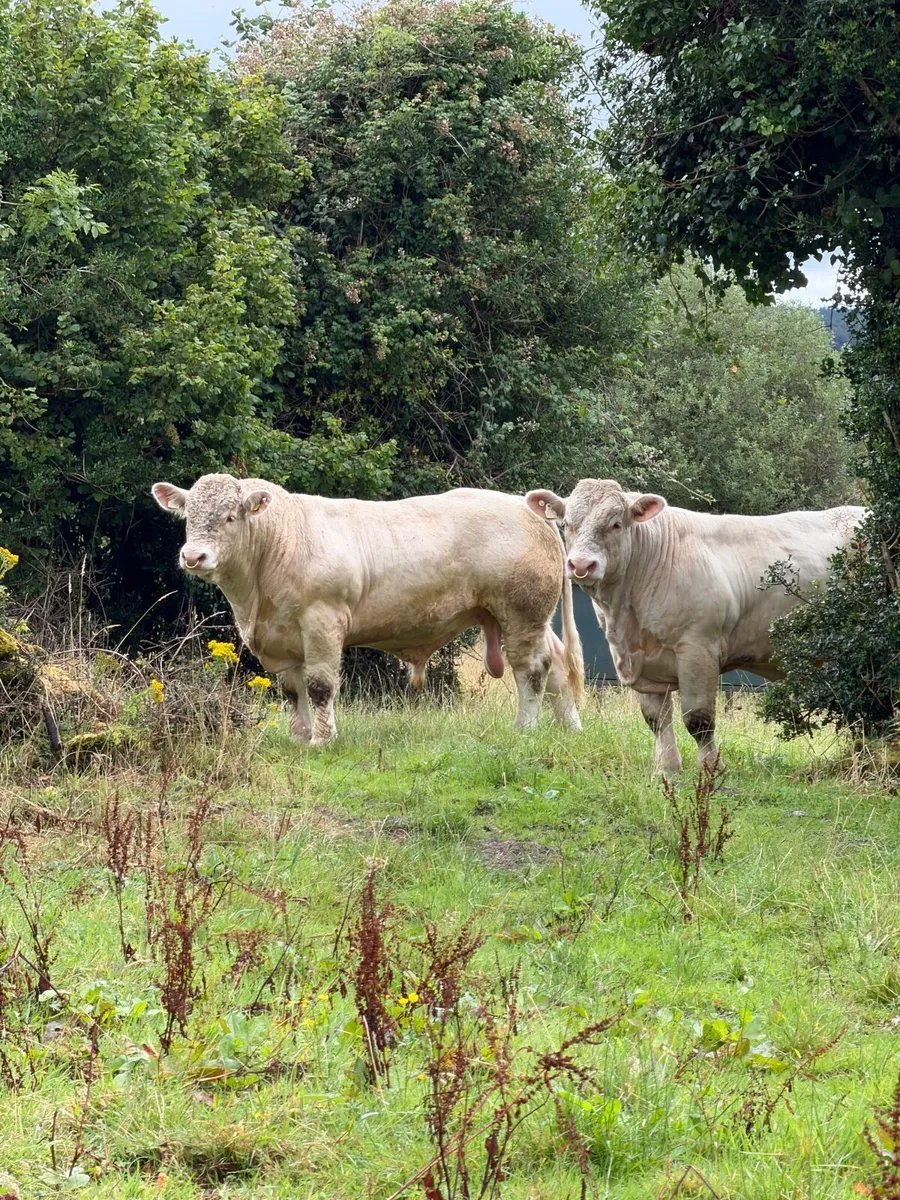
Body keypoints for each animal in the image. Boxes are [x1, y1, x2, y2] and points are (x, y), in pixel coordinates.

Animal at [152, 474, 584, 744]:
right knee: (557, 665)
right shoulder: (283, 639)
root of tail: (527, 508)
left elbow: (320, 686)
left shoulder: (322, 621)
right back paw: (570, 727)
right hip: (528, 619)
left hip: (521, 613)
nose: (193, 556)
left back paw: (525, 728)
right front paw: (299, 737)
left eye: (229, 517)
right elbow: (292, 690)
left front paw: (323, 739)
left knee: (531, 669)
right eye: (188, 517)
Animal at [525, 479, 865, 774]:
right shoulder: (642, 665)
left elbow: (698, 718)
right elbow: (656, 719)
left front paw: (711, 767)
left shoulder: (698, 649)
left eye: (616, 524)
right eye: (567, 524)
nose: (581, 565)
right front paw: (667, 768)